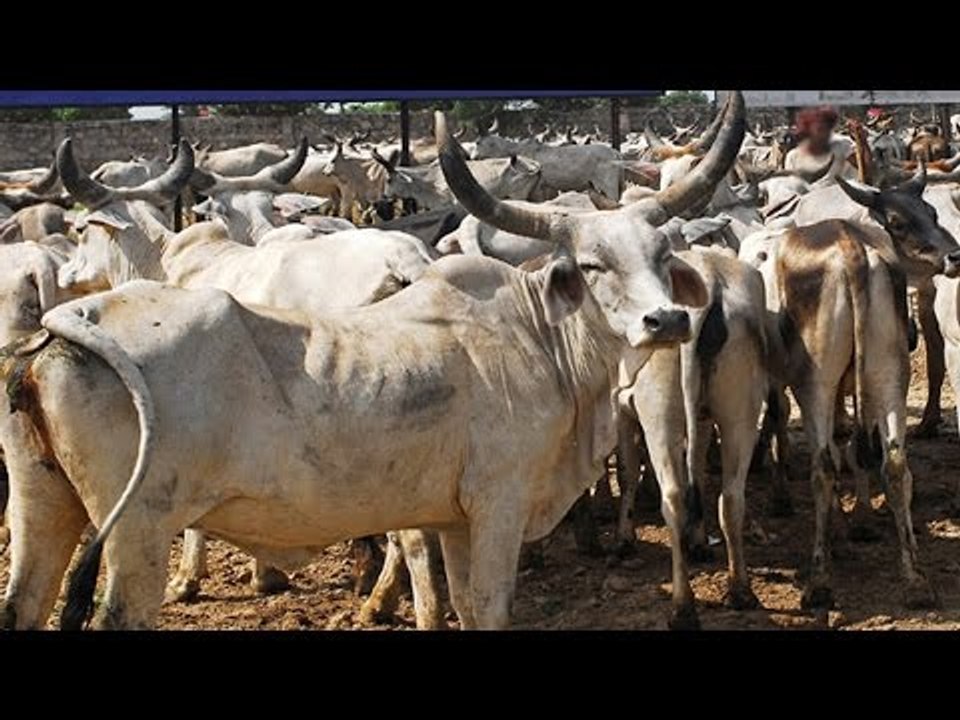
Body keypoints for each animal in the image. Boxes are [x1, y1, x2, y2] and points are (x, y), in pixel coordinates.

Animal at [0, 93, 744, 630]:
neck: (538, 335)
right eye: (591, 264)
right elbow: (488, 609)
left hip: (46, 505)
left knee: (23, 603)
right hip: (137, 530)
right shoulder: (496, 505)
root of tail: (73, 322)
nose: (666, 320)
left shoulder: (453, 517)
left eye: (662, 255)